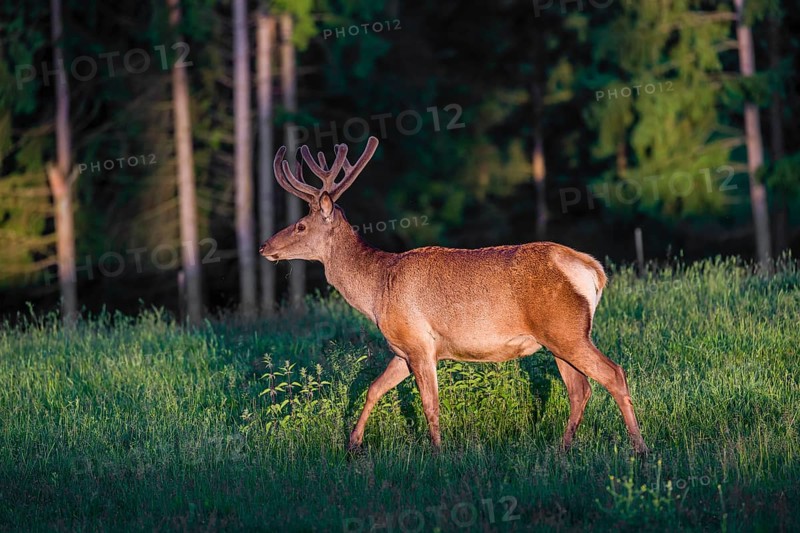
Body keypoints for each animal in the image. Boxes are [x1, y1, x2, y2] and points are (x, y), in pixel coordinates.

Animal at [259, 136, 648, 455]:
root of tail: (593, 269)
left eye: (300, 225)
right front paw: (353, 445)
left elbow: (430, 404)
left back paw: (639, 448)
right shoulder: (402, 349)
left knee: (613, 374)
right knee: (579, 389)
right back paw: (563, 449)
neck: (377, 291)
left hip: (566, 329)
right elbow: (374, 388)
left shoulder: (419, 342)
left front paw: (438, 453)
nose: (264, 246)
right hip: (557, 339)